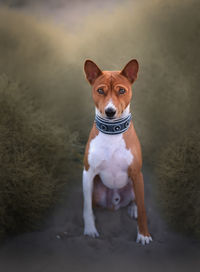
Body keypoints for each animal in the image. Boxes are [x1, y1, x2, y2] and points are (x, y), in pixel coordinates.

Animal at [82, 59, 152, 244]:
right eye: (100, 90)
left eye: (122, 90)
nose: (110, 111)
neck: (112, 133)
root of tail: (115, 203)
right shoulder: (88, 173)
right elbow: (86, 207)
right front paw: (90, 229)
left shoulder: (136, 173)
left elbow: (143, 209)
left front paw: (143, 235)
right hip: (95, 189)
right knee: (91, 204)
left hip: (137, 182)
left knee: (136, 201)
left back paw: (133, 209)